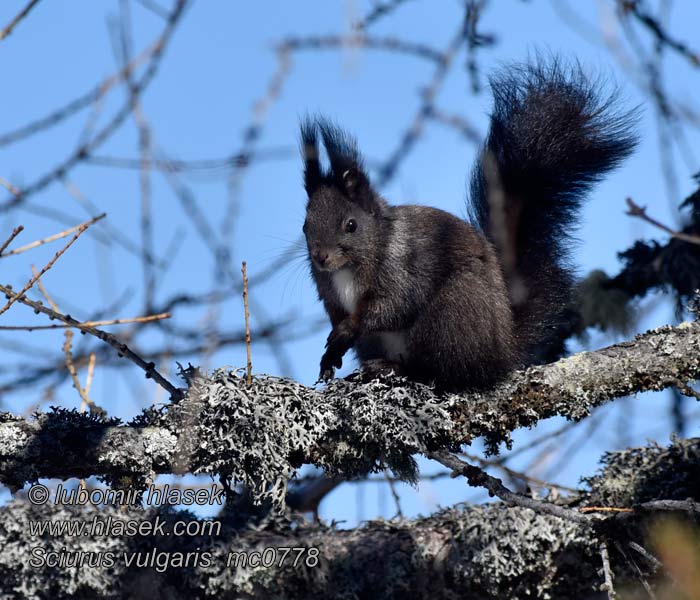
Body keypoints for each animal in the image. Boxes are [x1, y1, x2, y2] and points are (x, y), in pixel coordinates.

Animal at [298, 58, 636, 392]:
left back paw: (397, 368)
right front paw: (330, 357)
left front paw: (346, 330)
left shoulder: (402, 270)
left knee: (442, 371)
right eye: (305, 225)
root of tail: (503, 353)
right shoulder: (330, 295)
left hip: (453, 314)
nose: (320, 257)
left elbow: (391, 307)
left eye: (351, 225)